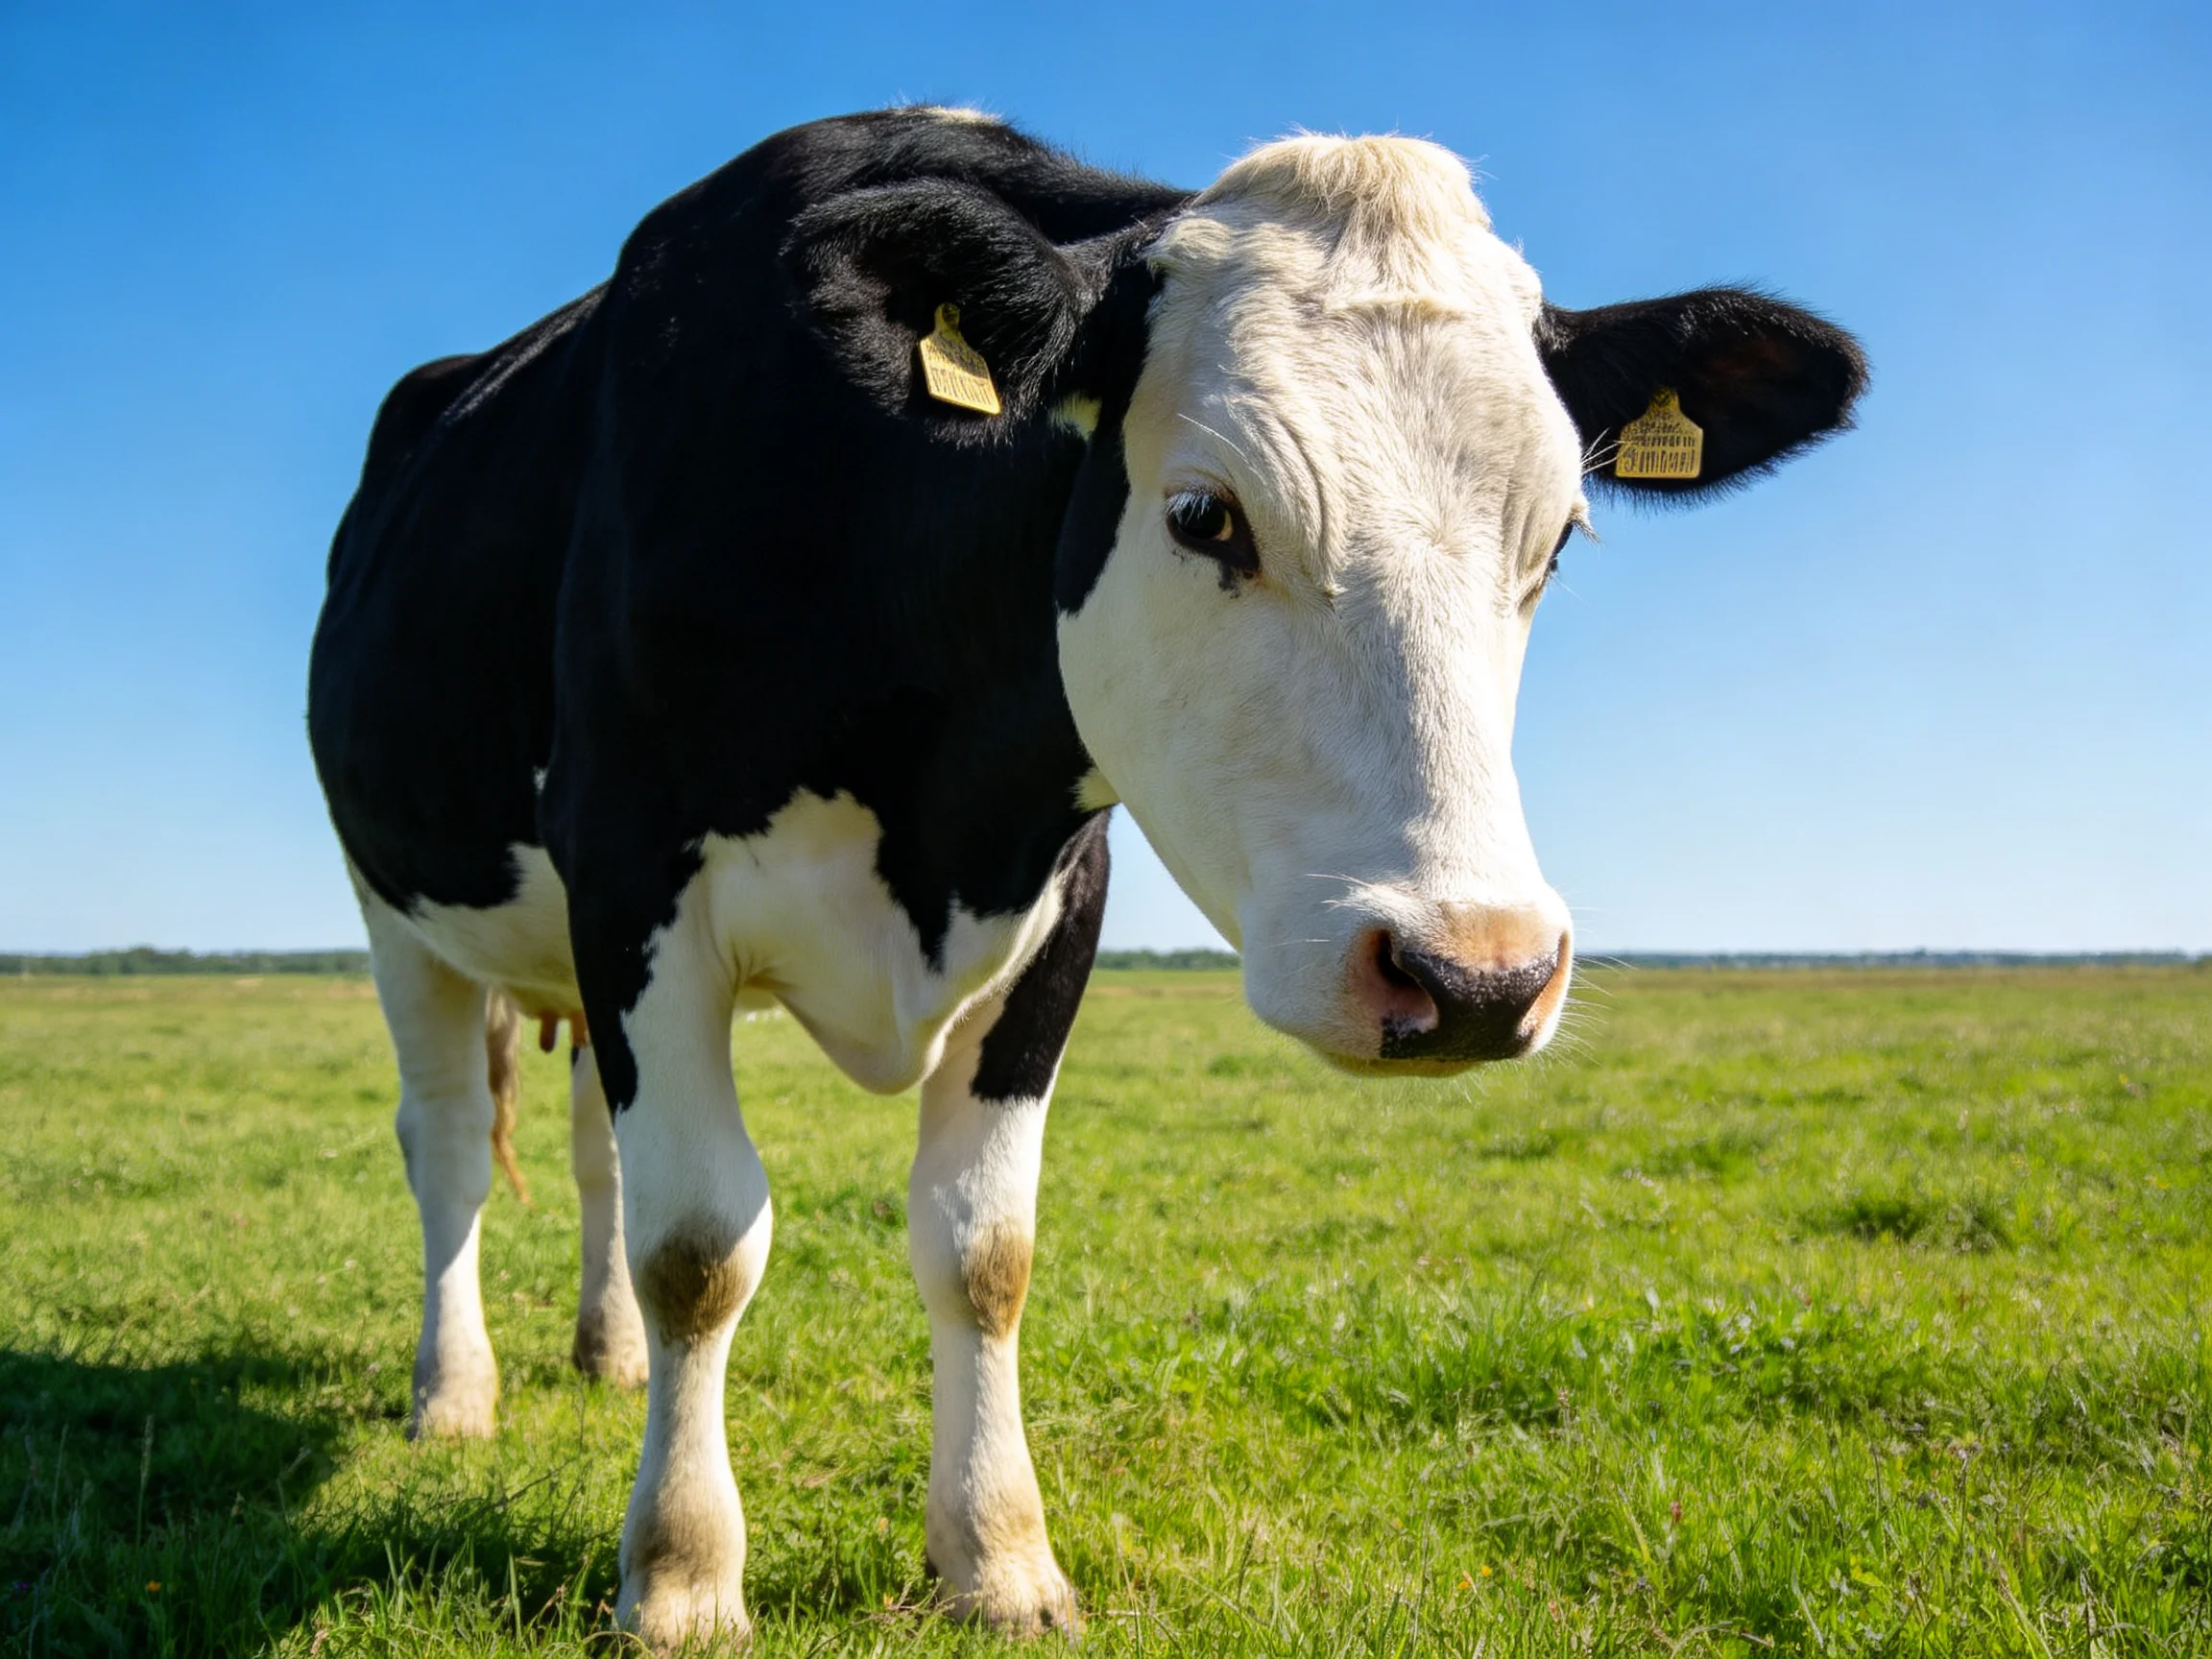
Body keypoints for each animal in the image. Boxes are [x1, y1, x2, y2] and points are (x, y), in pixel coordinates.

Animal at [307, 106, 1863, 1648]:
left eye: (1555, 539)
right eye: (1204, 515)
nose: (1477, 975)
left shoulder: (1060, 898)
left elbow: (982, 1249)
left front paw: (998, 1558)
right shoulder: (636, 881)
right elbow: (701, 1245)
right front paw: (681, 1579)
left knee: (591, 1158)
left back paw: (607, 1357)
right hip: (400, 915)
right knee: (450, 1144)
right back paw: (453, 1394)